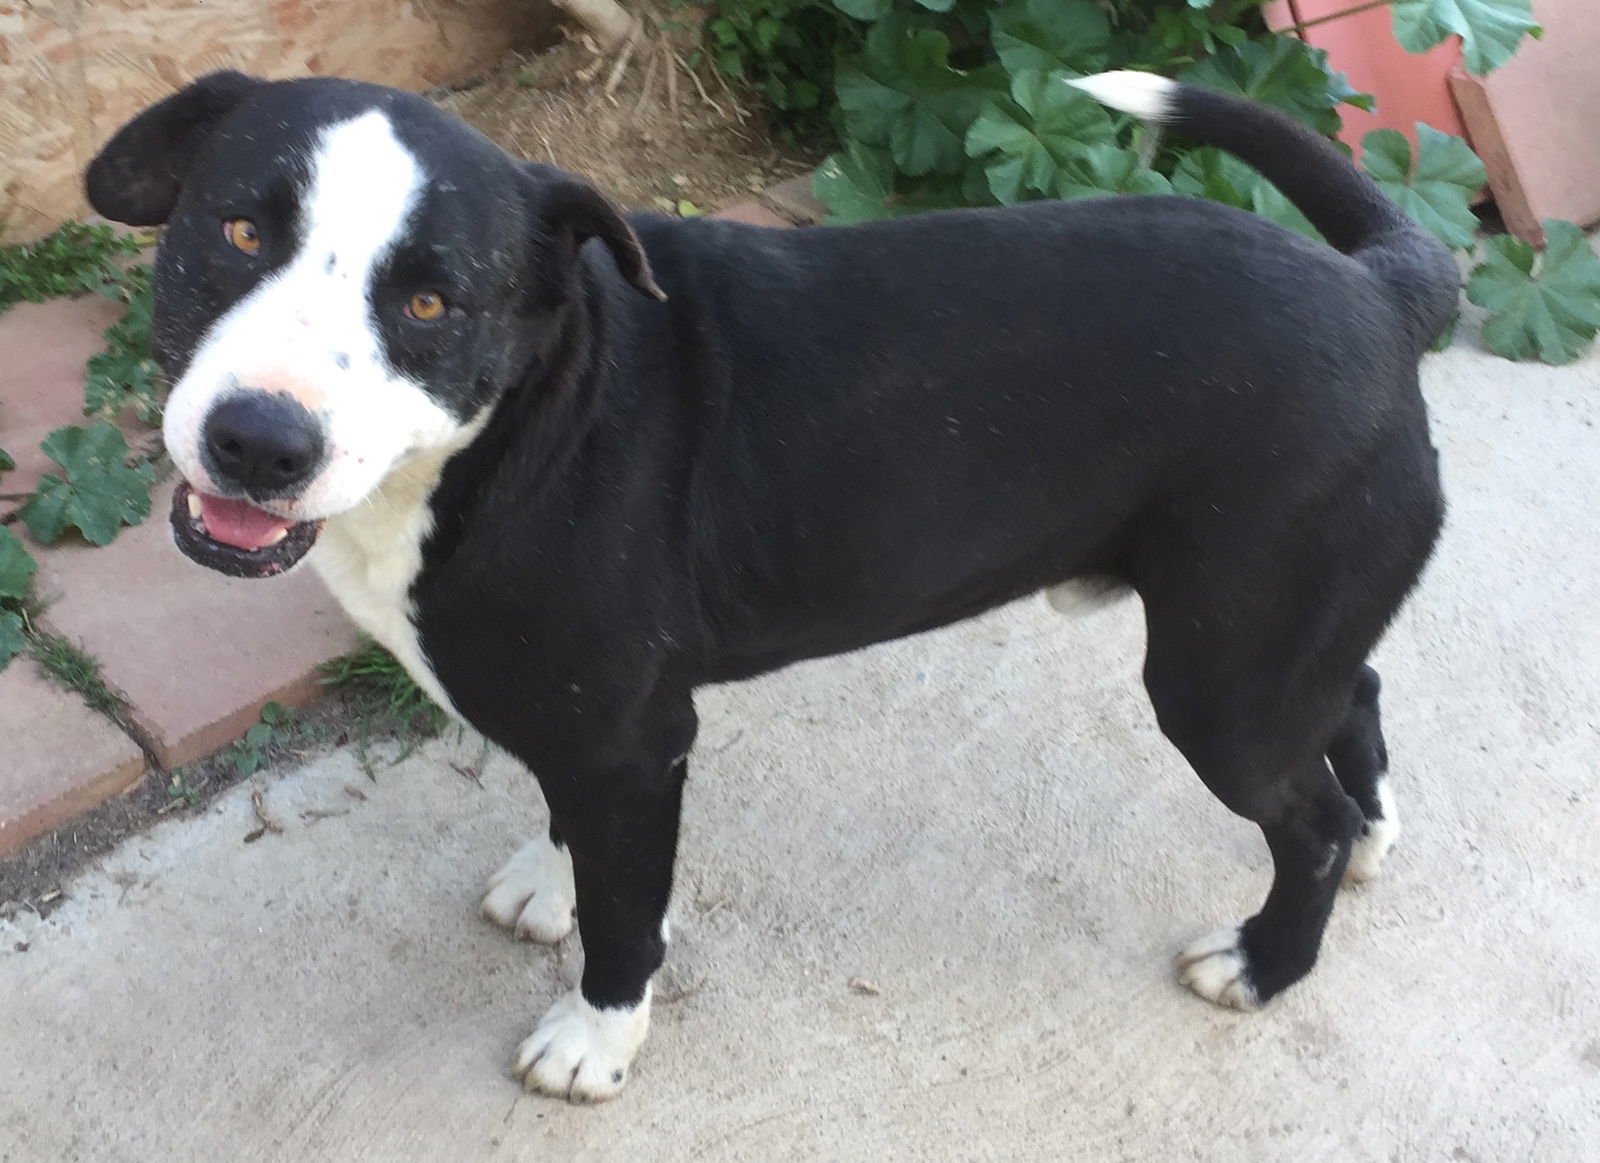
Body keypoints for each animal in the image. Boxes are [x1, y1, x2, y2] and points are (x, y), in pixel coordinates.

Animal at [90, 68, 1465, 1107]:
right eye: (238, 232)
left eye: (430, 299)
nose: (260, 440)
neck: (517, 420)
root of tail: (1376, 288)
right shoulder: (588, 730)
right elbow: (571, 830)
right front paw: (549, 878)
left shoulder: (631, 740)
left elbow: (627, 920)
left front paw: (594, 1039)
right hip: (1272, 635)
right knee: (1355, 694)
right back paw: (1376, 836)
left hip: (1218, 678)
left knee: (1305, 817)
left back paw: (1269, 959)